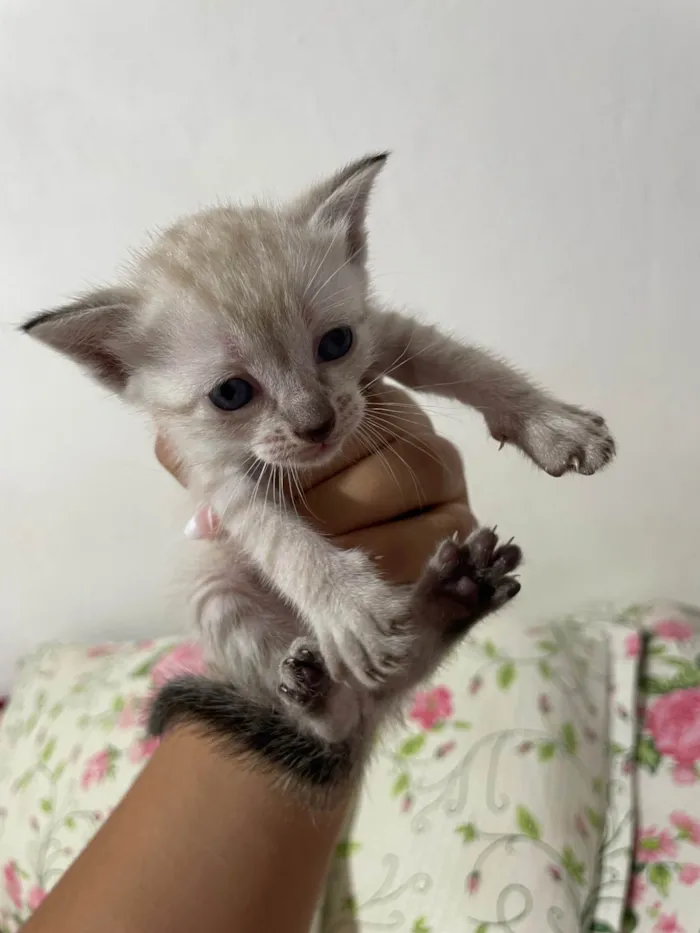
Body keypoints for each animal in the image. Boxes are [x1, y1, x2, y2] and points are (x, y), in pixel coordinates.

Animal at [21, 157, 612, 792]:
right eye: (231, 394)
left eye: (335, 342)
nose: (317, 423)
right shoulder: (212, 471)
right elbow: (279, 537)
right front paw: (349, 606)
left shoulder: (387, 331)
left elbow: (470, 364)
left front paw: (552, 424)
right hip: (218, 597)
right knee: (347, 716)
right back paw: (327, 690)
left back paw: (454, 595)